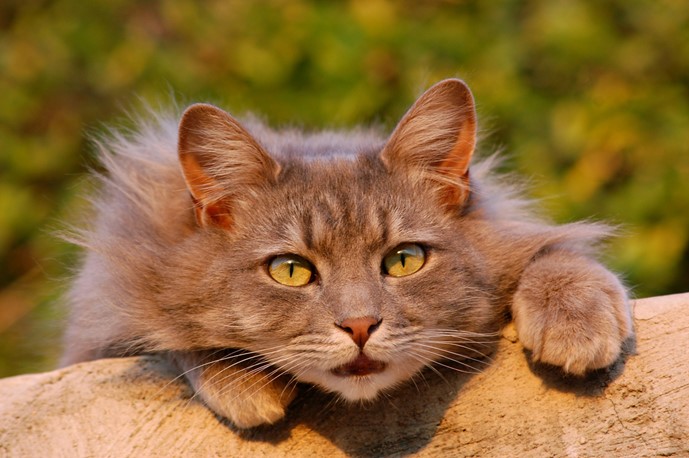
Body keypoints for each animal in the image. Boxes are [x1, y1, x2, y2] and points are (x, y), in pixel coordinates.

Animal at [61, 79, 632, 430]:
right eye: (291, 271)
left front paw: (576, 321)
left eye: (404, 260)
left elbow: (556, 254)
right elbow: (169, 339)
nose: (359, 327)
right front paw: (242, 383)